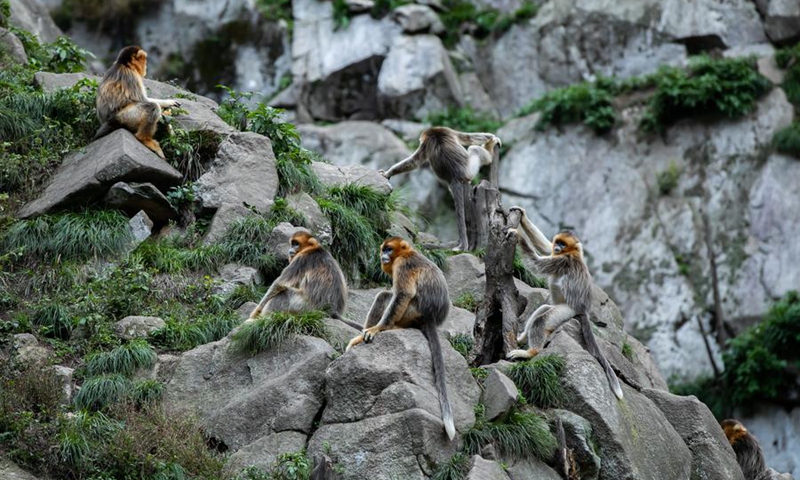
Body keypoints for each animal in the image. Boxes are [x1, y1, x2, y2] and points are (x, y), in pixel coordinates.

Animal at [346, 237, 456, 440]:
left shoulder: (403, 265)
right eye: (384, 249)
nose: (384, 255)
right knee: (384, 295)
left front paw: (378, 329)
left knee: (389, 296)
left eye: (389, 249)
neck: (406, 253)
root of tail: (431, 317)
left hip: (411, 313)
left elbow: (404, 294)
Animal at [505, 207, 624, 400]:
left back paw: (530, 352)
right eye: (558, 242)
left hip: (567, 311)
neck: (571, 253)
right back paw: (522, 337)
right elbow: (545, 247)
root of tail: (582, 309)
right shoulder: (559, 254)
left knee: (542, 320)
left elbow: (537, 262)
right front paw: (522, 215)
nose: (558, 247)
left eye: (563, 244)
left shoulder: (564, 260)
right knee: (543, 308)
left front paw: (517, 234)